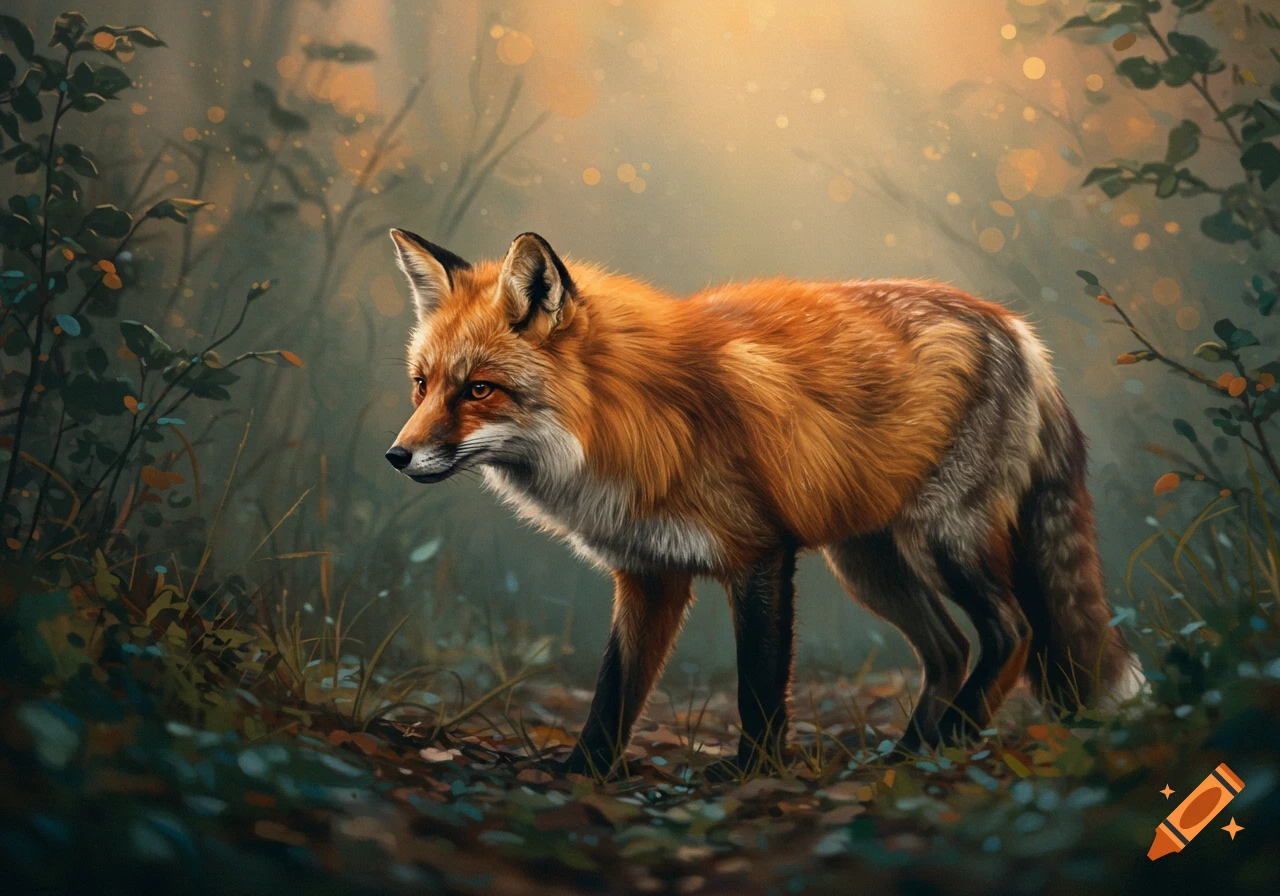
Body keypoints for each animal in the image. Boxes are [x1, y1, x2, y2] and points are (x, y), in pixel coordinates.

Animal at [383, 228, 1145, 778]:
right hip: (868, 565)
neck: (632, 418)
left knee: (1013, 631)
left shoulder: (759, 553)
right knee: (951, 648)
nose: (396, 456)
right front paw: (584, 774)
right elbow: (614, 692)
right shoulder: (649, 573)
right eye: (421, 385)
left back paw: (948, 745)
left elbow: (758, 683)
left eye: (478, 389)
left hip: (943, 542)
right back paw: (906, 756)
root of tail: (1014, 326)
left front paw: (753, 773)